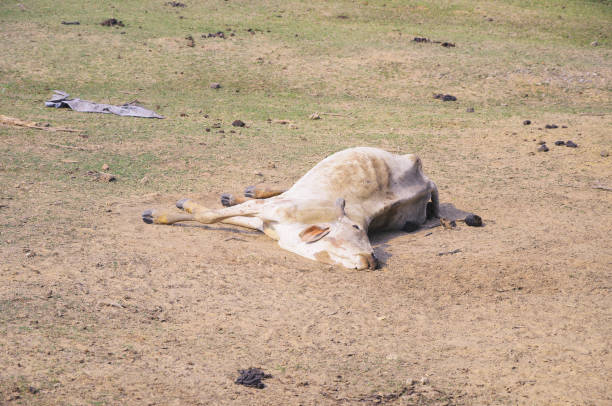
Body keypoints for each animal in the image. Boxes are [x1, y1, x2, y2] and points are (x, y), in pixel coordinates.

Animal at [142, 146, 442, 270]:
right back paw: (242, 193)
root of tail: (424, 177)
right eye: (356, 227)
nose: (372, 259)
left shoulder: (265, 217)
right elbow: (210, 216)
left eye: (366, 231)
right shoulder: (269, 212)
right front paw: (162, 214)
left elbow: (214, 217)